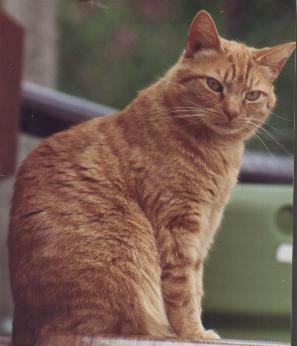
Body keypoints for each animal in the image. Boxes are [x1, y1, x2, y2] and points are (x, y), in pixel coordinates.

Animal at [8, 9, 292, 344]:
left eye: (252, 95)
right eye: (213, 84)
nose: (232, 112)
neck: (218, 150)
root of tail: (29, 324)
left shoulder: (205, 227)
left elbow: (196, 283)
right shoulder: (177, 224)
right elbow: (183, 290)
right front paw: (193, 333)